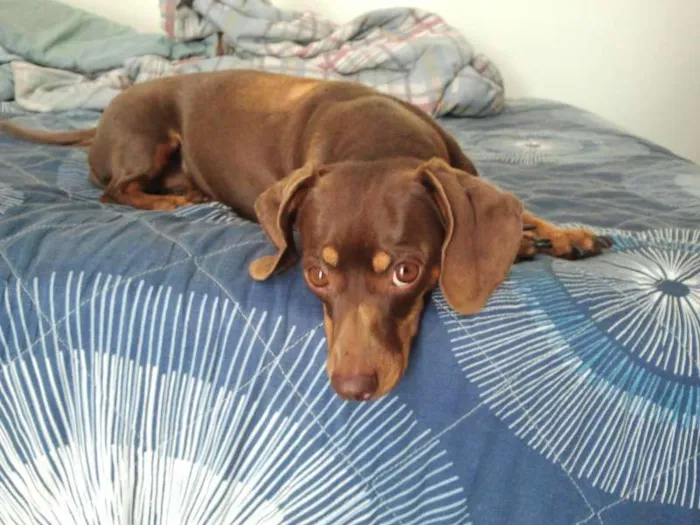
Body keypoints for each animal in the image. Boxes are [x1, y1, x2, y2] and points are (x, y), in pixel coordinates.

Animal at [0, 70, 612, 401]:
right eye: (316, 273)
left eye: (406, 272)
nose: (351, 390)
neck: (375, 139)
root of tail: (101, 120)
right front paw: (534, 241)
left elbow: (524, 211)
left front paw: (563, 234)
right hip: (147, 138)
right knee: (115, 191)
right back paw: (175, 198)